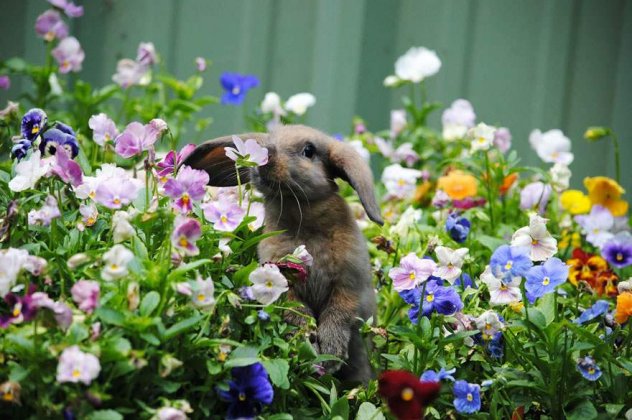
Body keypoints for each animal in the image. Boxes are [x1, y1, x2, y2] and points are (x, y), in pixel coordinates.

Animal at [180, 124, 382, 384]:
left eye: (309, 151)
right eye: (267, 141)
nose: (266, 156)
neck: (303, 217)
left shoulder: (349, 283)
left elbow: (339, 314)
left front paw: (330, 353)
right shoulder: (284, 282)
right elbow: (296, 312)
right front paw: (310, 344)